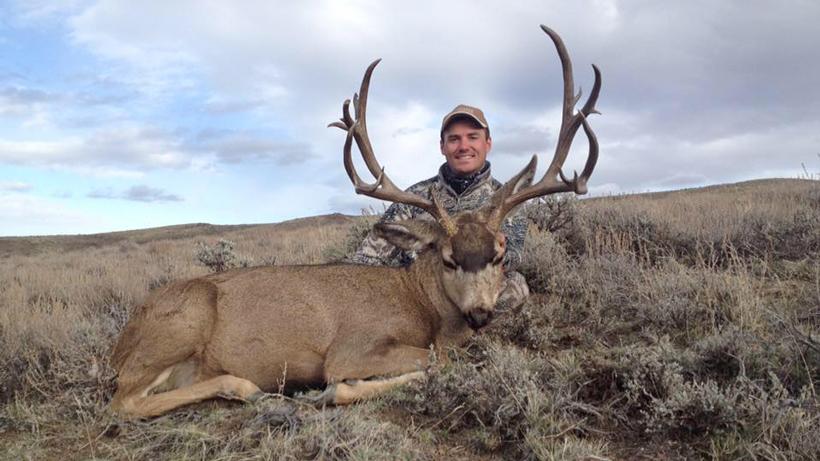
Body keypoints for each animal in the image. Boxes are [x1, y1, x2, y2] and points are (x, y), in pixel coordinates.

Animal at [109, 25, 601, 419]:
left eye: (499, 254)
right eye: (447, 258)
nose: (480, 313)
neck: (419, 304)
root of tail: (122, 342)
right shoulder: (350, 350)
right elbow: (428, 362)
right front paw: (330, 393)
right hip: (181, 324)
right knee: (123, 402)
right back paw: (249, 388)